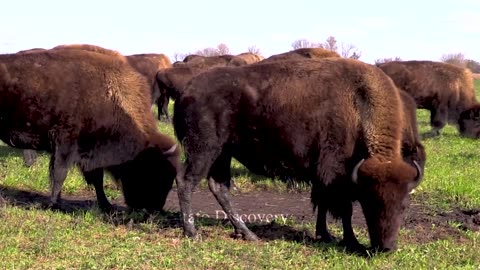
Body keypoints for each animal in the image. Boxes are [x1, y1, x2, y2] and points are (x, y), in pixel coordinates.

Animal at [0, 49, 180, 212]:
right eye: (151, 171)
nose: (153, 208)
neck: (108, 94)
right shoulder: (65, 144)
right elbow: (59, 174)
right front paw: (54, 204)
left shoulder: (91, 152)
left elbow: (97, 180)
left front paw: (106, 205)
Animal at [172, 58, 424, 253]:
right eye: (370, 203)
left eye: (404, 205)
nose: (386, 247)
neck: (358, 106)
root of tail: (187, 91)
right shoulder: (336, 175)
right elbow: (344, 210)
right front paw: (351, 242)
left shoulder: (326, 178)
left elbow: (322, 204)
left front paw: (325, 235)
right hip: (204, 150)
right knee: (186, 181)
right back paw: (192, 232)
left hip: (222, 154)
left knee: (219, 187)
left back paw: (248, 234)